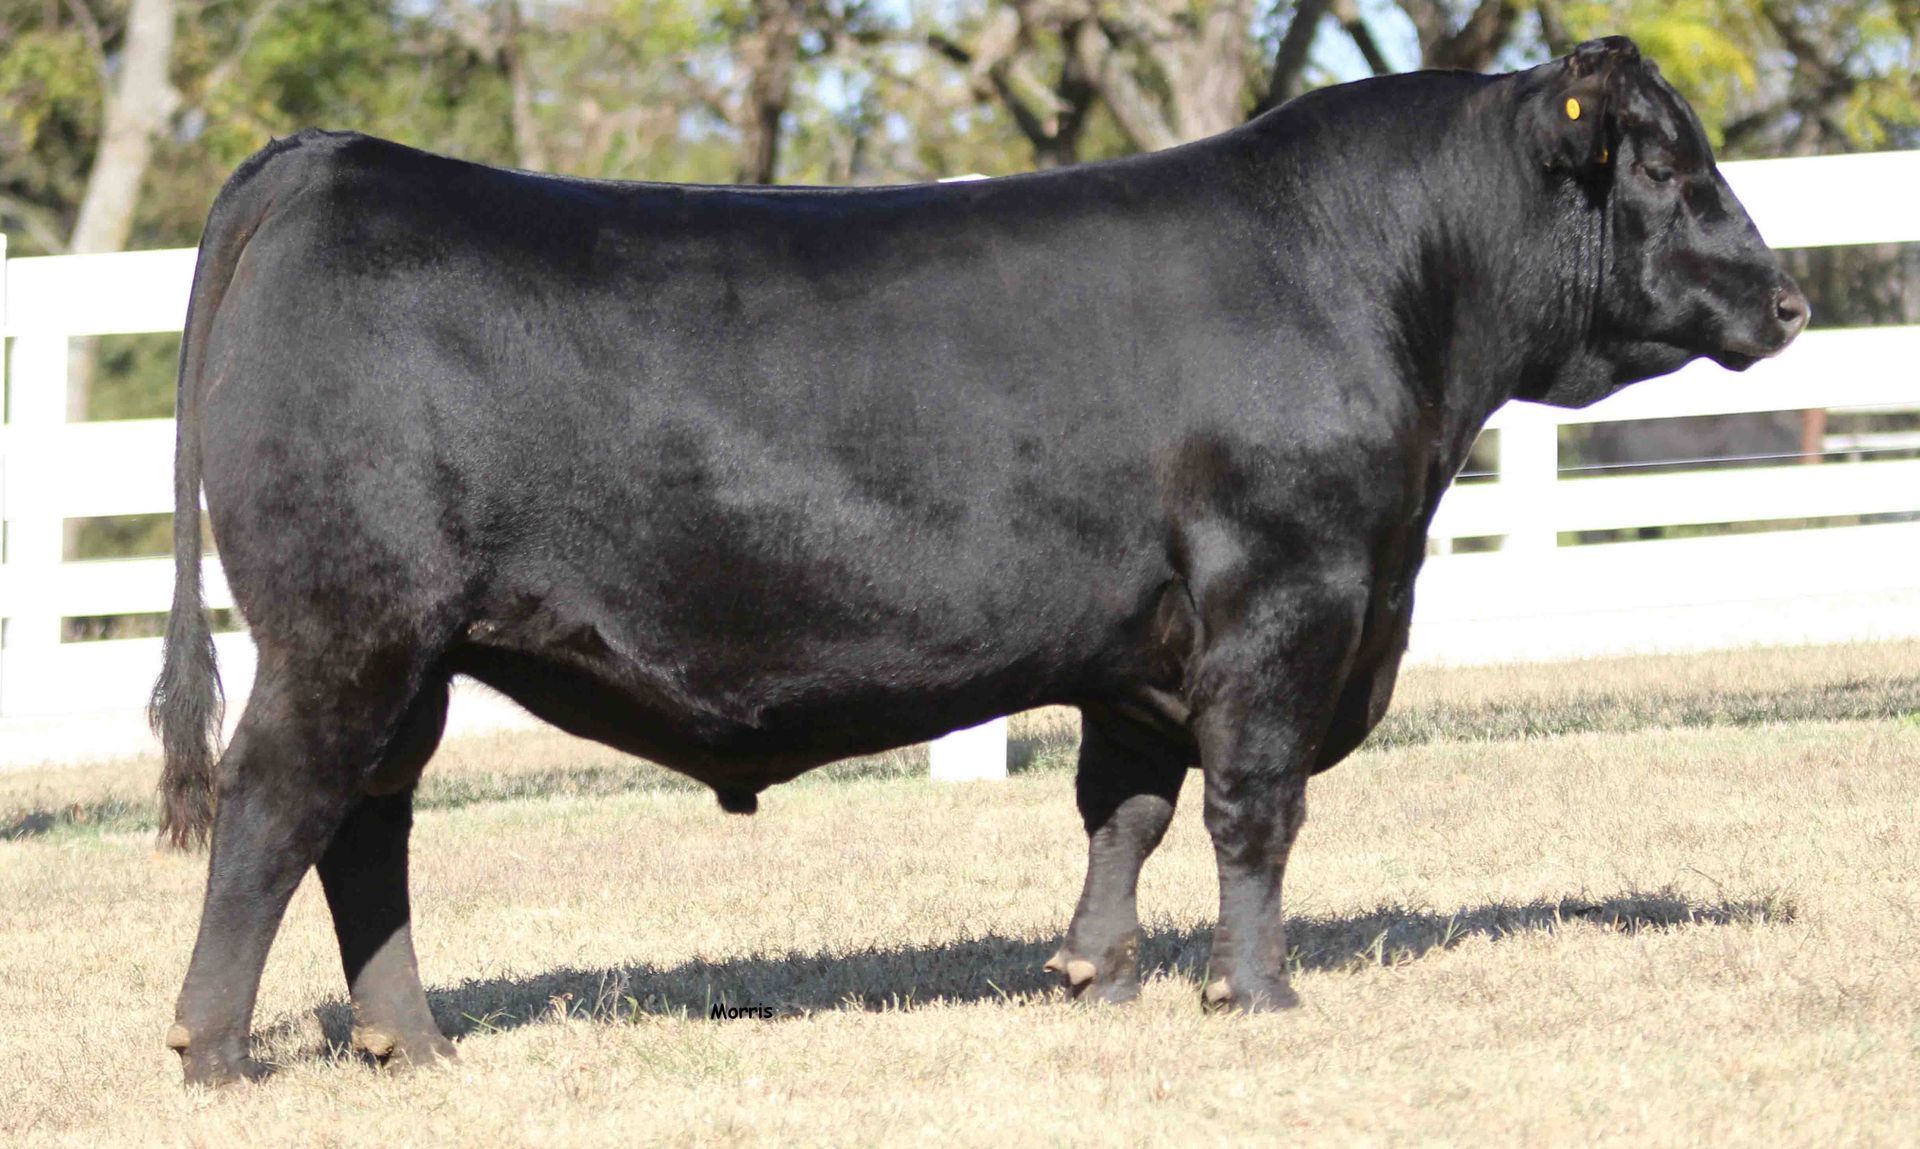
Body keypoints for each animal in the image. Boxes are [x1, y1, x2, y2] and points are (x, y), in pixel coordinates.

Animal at [151, 36, 1806, 1085]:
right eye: (1667, 167)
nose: (1790, 297)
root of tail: (336, 160)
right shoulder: (1289, 595)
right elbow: (1255, 807)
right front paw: (1258, 990)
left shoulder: (1147, 646)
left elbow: (1126, 804)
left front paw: (1095, 970)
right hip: (349, 628)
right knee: (275, 807)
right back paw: (217, 1050)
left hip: (414, 653)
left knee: (366, 824)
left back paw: (413, 1042)